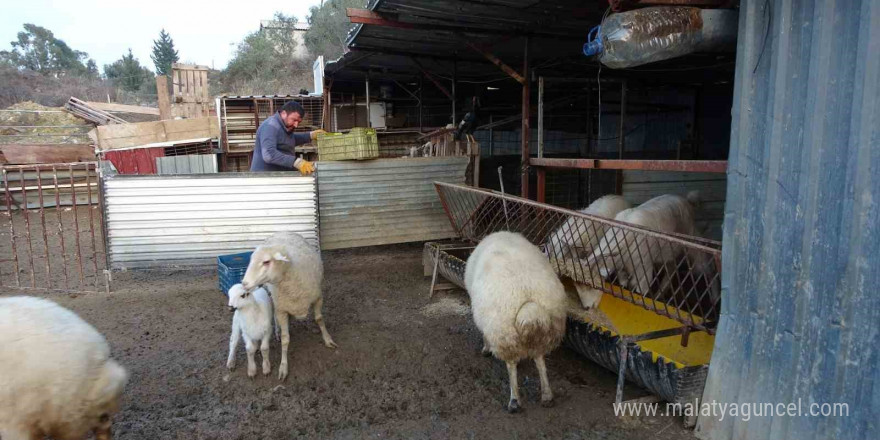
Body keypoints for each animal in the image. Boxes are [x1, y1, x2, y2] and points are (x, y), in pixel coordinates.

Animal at [241, 230, 336, 382]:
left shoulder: (318, 298)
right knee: (274, 317)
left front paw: (328, 339)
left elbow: (319, 319)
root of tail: (282, 231)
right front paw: (283, 366)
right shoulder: (281, 309)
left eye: (266, 262)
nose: (244, 283)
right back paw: (278, 332)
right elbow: (285, 340)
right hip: (274, 298)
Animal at [464, 230, 568, 412]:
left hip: (504, 333)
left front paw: (486, 349)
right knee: (540, 361)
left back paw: (514, 400)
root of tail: (530, 308)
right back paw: (547, 395)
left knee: (511, 365)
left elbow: (484, 335)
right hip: (544, 334)